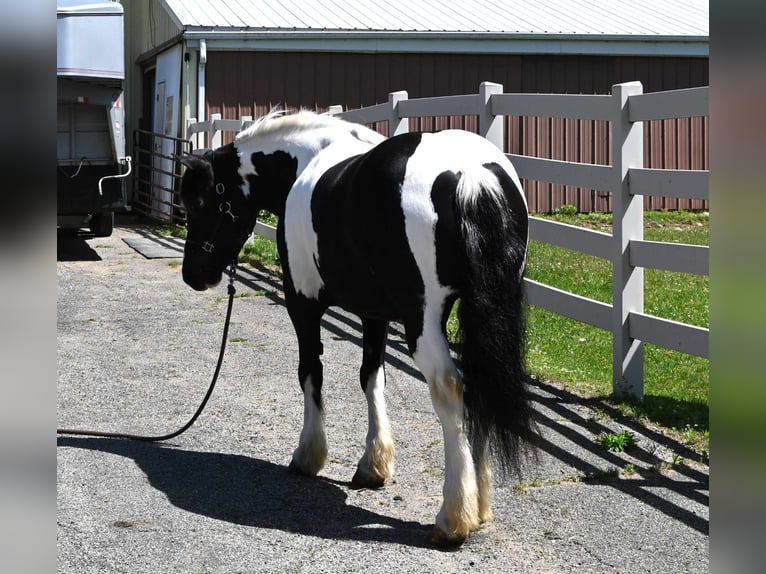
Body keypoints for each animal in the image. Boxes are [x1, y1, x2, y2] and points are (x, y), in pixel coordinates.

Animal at [178, 110, 536, 547]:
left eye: (199, 202)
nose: (194, 275)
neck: (306, 161)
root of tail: (469, 172)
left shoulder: (302, 303)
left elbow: (310, 373)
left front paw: (309, 455)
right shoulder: (374, 314)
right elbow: (371, 377)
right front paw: (373, 465)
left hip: (423, 320)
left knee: (449, 387)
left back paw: (453, 518)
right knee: (477, 385)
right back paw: (479, 506)